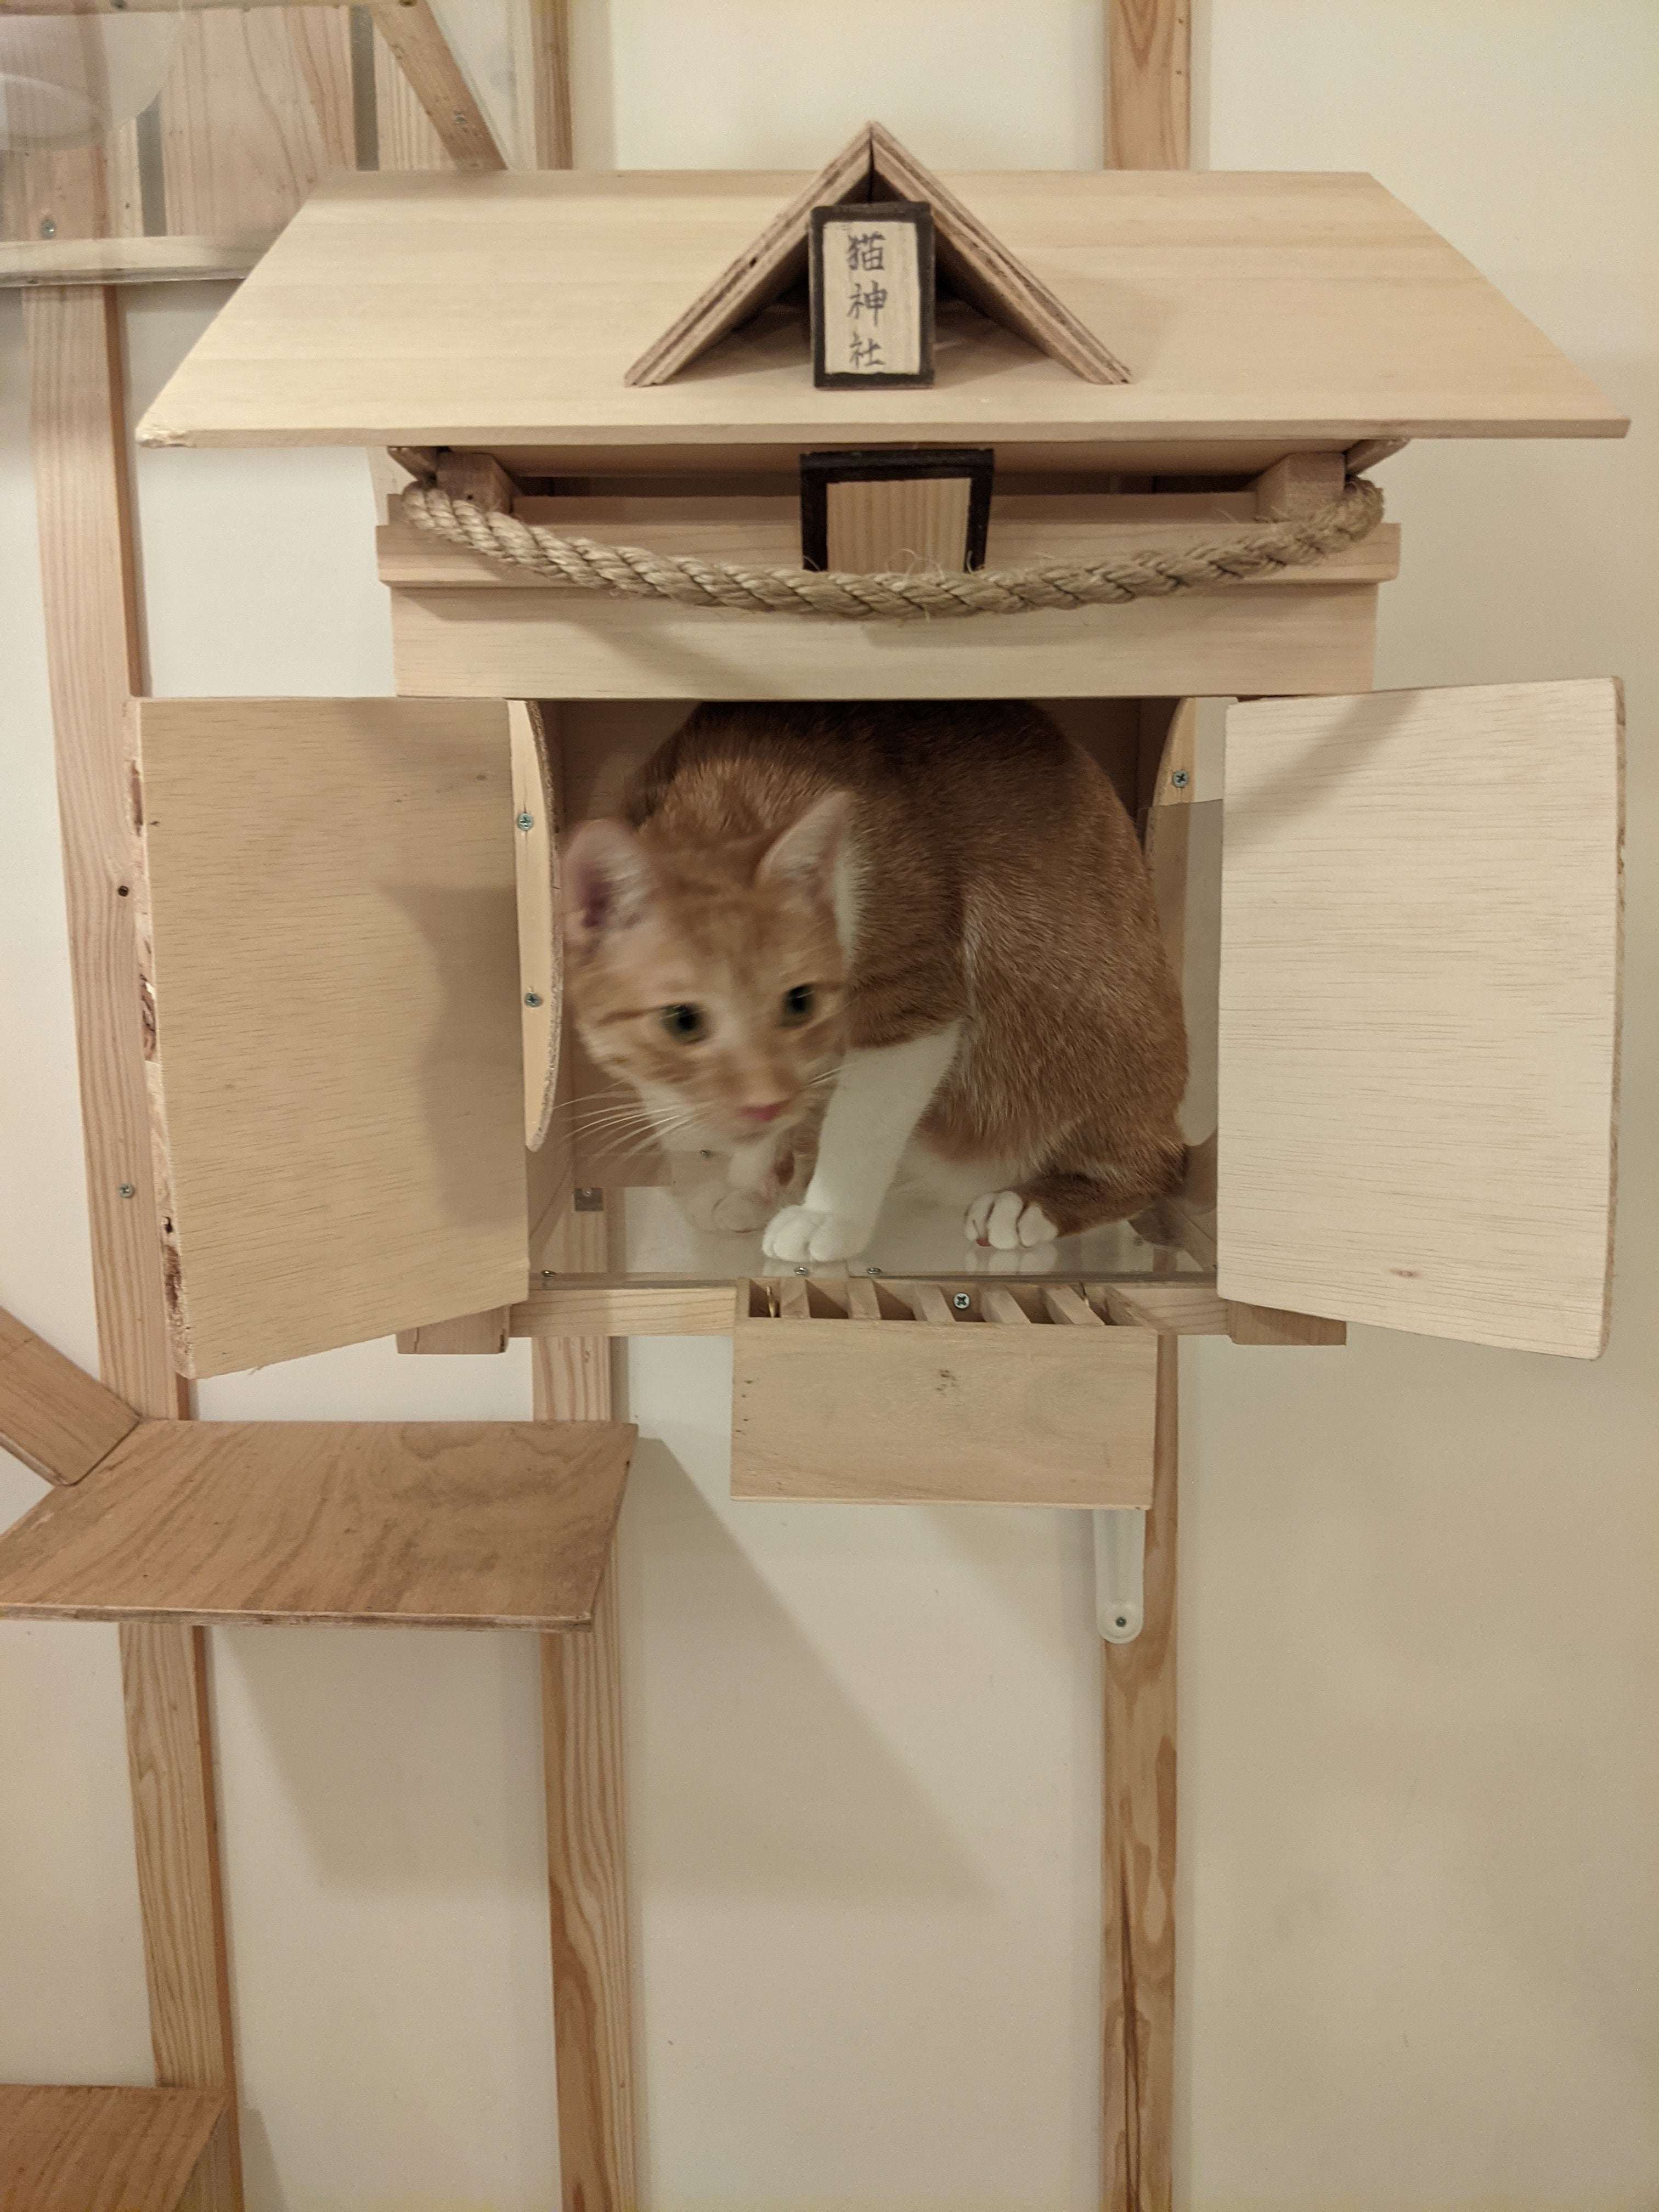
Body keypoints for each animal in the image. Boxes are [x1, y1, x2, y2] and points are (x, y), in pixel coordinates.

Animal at [559, 700, 1187, 1265]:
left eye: (799, 1004)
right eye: (682, 1021)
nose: (762, 1106)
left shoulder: (913, 992)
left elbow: (859, 1121)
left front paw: (824, 1216)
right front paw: (739, 1178)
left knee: (1151, 1167)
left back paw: (1022, 1205)